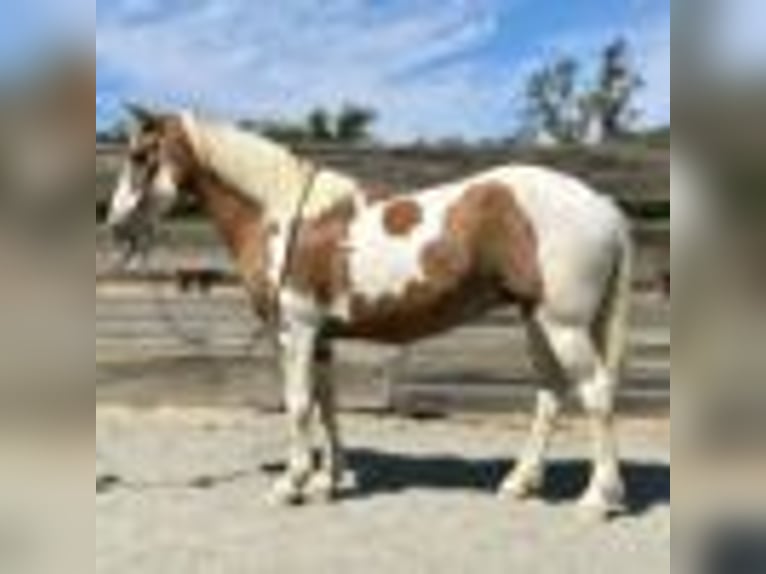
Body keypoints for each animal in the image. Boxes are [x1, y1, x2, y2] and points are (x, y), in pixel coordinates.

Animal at [106, 107, 633, 517]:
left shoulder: (296, 330)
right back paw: (520, 483)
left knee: (596, 393)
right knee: (550, 395)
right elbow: (328, 405)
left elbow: (298, 405)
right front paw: (329, 481)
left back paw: (598, 498)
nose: (114, 224)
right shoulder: (321, 337)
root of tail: (600, 203)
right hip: (536, 319)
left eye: (139, 156)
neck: (280, 214)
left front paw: (291, 484)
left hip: (563, 325)